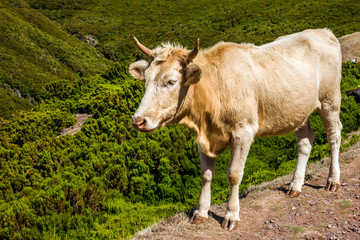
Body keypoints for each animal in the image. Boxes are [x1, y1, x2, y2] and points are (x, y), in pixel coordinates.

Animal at [129, 29, 344, 232]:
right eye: (145, 81)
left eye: (171, 81)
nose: (138, 121)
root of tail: (322, 31)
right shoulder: (202, 138)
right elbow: (206, 175)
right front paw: (201, 212)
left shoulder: (243, 131)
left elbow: (233, 174)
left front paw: (231, 215)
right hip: (297, 112)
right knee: (305, 142)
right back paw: (295, 185)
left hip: (330, 100)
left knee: (334, 136)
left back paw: (333, 181)